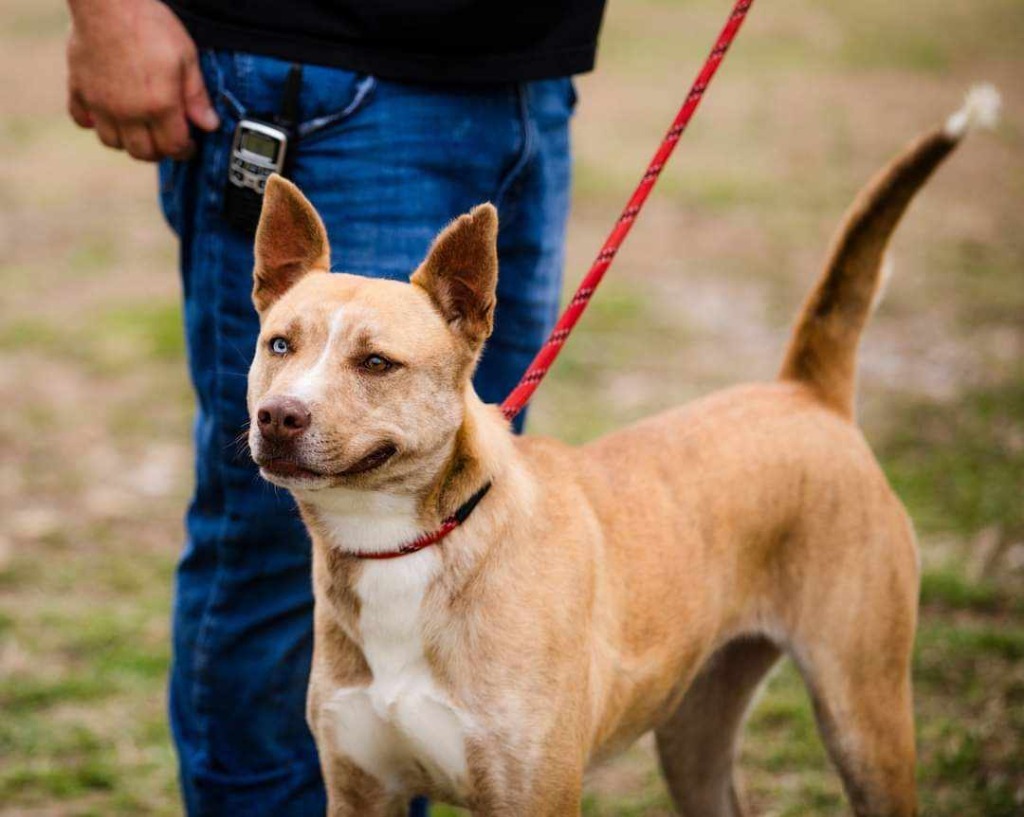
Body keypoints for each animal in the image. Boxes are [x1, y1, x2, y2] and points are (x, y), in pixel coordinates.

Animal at [243, 89, 995, 817]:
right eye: (280, 344)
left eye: (376, 362)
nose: (277, 416)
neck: (412, 541)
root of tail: (805, 393)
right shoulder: (359, 790)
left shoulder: (536, 793)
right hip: (695, 727)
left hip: (863, 717)